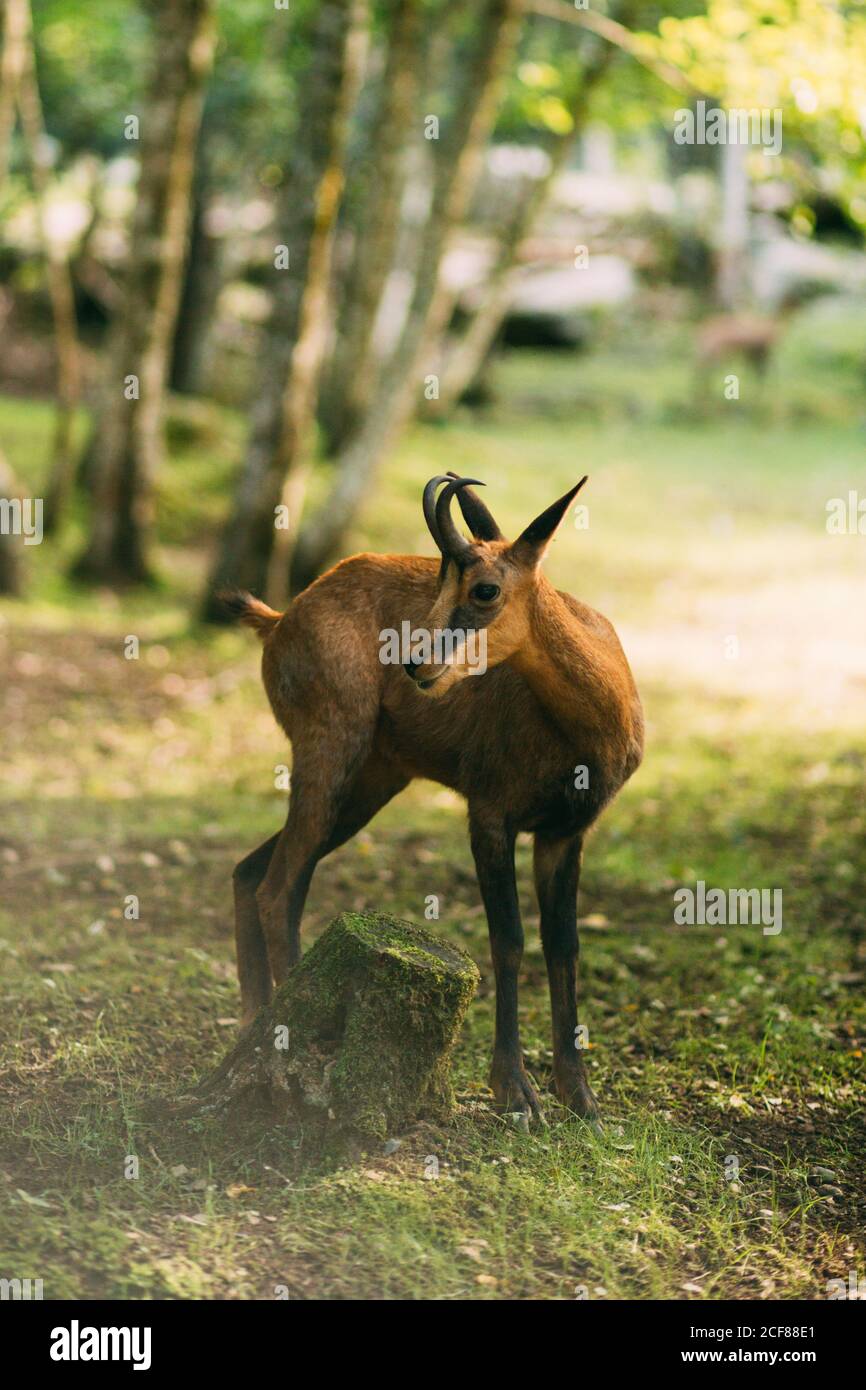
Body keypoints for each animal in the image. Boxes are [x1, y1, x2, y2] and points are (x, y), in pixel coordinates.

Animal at [226, 475, 643, 1121]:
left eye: (485, 588)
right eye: (440, 584)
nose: (413, 662)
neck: (586, 730)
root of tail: (280, 619)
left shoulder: (564, 832)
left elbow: (564, 945)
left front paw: (580, 1097)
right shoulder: (491, 815)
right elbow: (509, 939)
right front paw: (515, 1091)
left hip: (372, 783)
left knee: (255, 872)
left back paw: (255, 1026)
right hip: (329, 752)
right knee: (278, 886)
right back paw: (289, 1037)